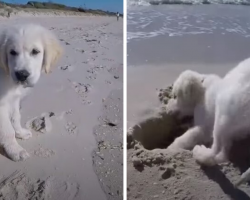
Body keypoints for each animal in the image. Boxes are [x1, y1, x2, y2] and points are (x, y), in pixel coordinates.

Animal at [0, 23, 63, 161]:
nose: (22, 75)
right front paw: (15, 150)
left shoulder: (13, 98)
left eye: (35, 51)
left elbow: (15, 117)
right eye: (12, 52)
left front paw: (21, 133)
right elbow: (7, 130)